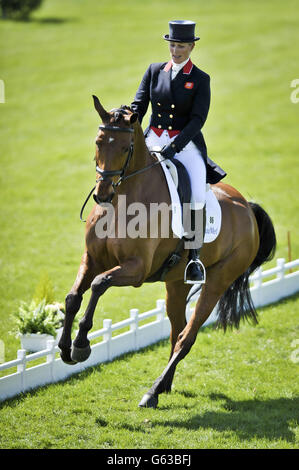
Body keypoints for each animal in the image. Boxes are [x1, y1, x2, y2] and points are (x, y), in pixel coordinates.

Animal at [58, 95, 276, 408]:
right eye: (98, 142)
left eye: (125, 148)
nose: (101, 194)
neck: (122, 201)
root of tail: (247, 207)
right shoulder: (93, 259)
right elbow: (73, 296)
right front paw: (64, 349)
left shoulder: (136, 269)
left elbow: (99, 285)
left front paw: (81, 346)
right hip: (176, 284)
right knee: (177, 330)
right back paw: (162, 387)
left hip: (217, 281)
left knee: (187, 336)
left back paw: (152, 391)